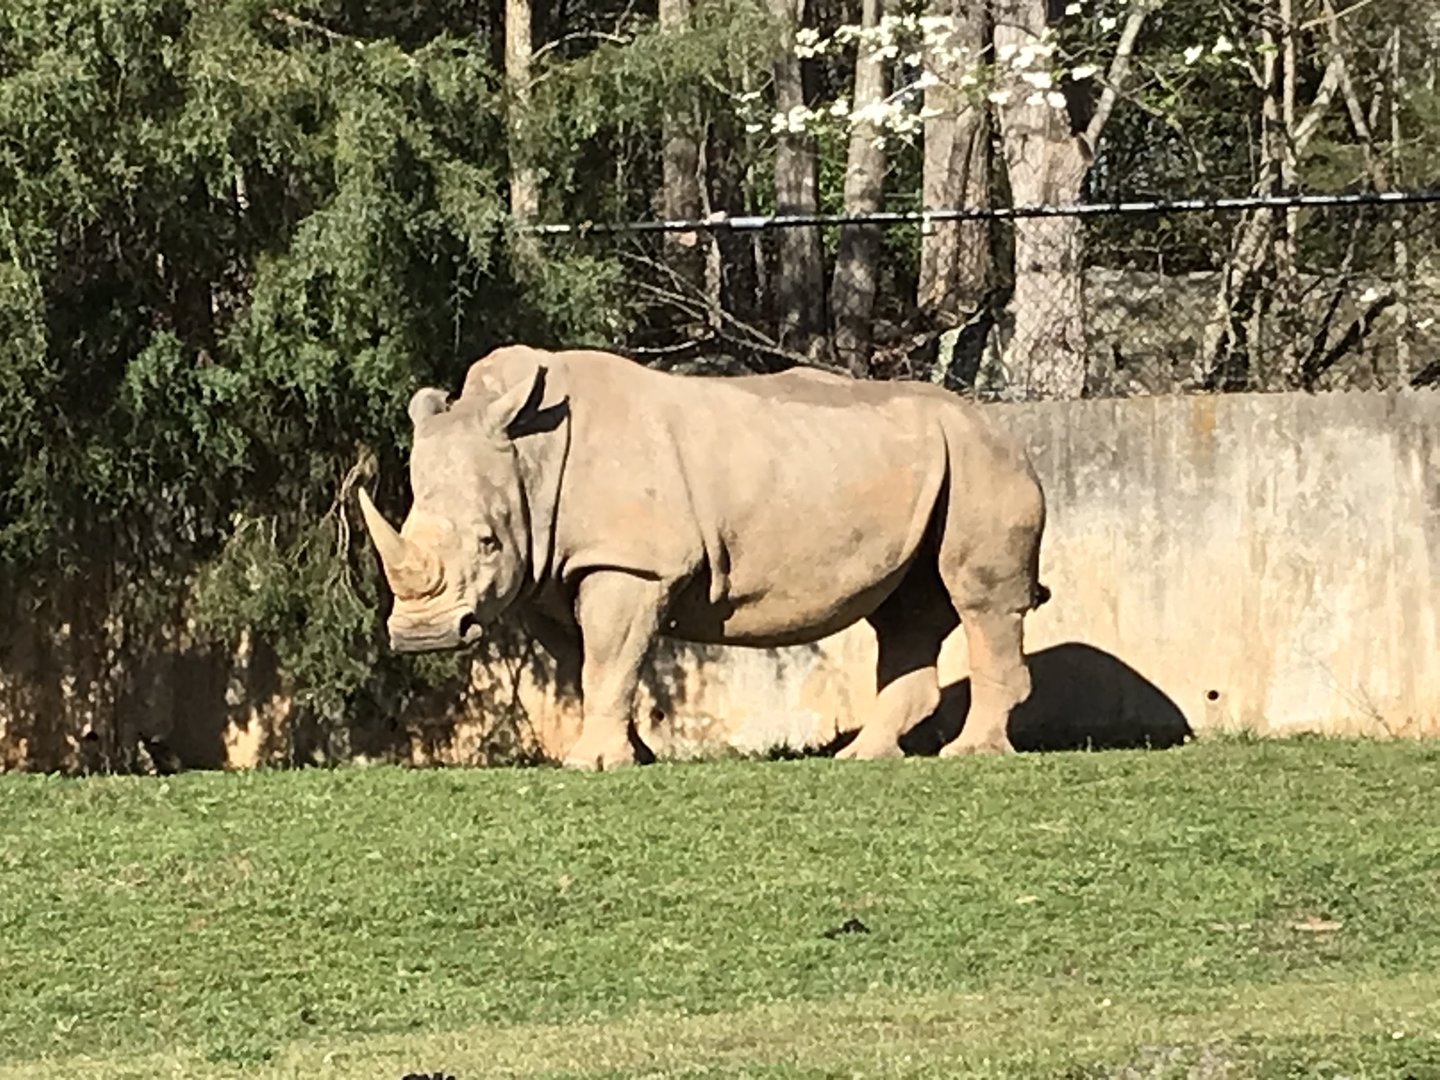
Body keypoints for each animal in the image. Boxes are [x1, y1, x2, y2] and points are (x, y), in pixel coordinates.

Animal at [357, 344, 1049, 770]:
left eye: (487, 542)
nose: (422, 636)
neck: (532, 451)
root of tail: (1001, 426)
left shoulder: (628, 563)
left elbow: (609, 659)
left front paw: (592, 762)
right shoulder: (551, 575)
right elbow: (588, 666)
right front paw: (629, 757)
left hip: (982, 458)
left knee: (977, 596)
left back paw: (969, 753)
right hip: (937, 462)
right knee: (906, 611)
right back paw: (863, 757)